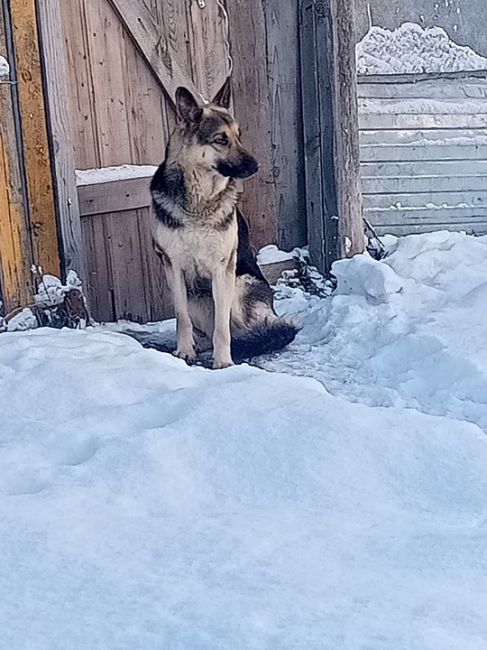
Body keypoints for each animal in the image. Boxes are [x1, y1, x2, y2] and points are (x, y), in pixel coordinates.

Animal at [151, 78, 300, 368]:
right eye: (221, 139)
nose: (257, 166)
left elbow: (222, 327)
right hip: (195, 295)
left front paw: (223, 362)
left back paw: (250, 342)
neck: (199, 205)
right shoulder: (172, 267)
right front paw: (184, 351)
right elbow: (181, 319)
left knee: (254, 329)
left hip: (240, 286)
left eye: (239, 136)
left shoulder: (223, 270)